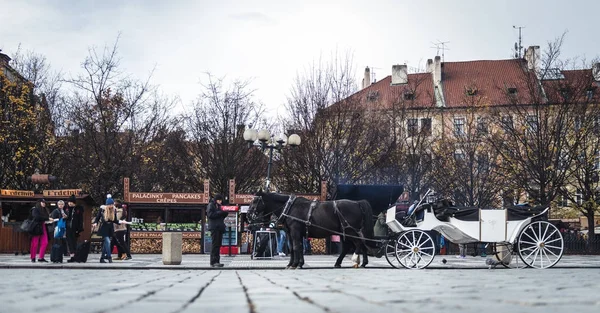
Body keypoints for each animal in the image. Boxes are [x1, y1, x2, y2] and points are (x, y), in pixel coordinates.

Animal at [247, 190, 378, 268]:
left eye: (255, 200)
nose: (248, 215)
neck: (290, 207)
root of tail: (357, 203)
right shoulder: (291, 233)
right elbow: (294, 248)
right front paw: (295, 263)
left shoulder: (295, 232)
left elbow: (296, 247)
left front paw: (295, 264)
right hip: (344, 232)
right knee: (353, 245)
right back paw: (350, 263)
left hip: (351, 231)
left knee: (359, 244)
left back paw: (356, 260)